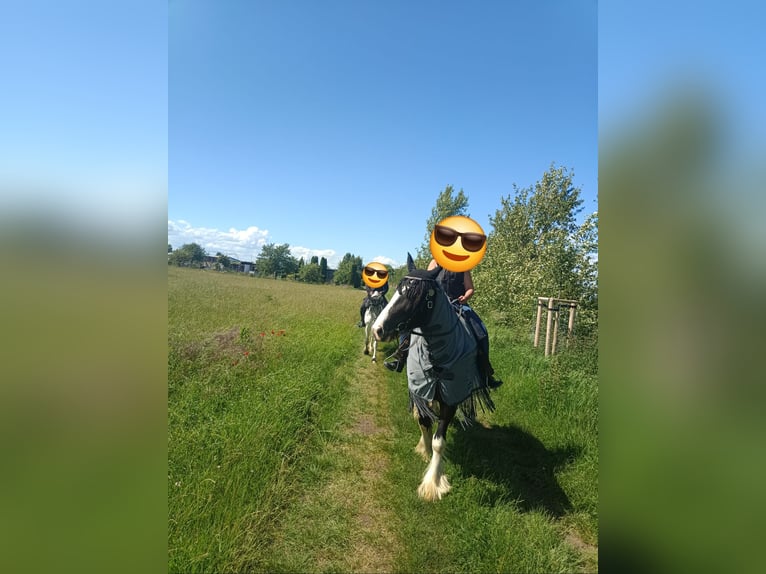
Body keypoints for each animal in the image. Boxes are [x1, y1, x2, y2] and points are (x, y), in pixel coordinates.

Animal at [372, 256, 495, 501]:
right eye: (397, 290)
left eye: (414, 295)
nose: (377, 329)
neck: (437, 352)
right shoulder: (420, 389)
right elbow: (424, 421)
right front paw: (424, 451)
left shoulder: (451, 396)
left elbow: (439, 440)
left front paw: (433, 483)